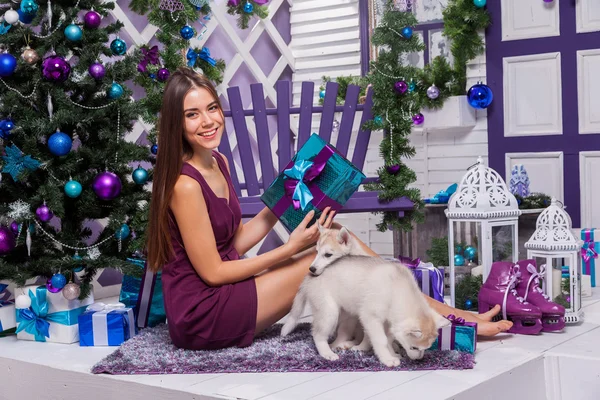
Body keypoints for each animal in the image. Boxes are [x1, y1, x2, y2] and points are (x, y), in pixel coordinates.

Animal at [282, 225, 450, 366]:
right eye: (414, 347)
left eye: (426, 348)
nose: (419, 360)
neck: (396, 289)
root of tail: (309, 277)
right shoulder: (370, 317)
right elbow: (381, 339)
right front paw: (388, 359)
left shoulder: (388, 322)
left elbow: (388, 338)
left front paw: (392, 353)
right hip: (329, 312)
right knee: (318, 335)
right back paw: (327, 353)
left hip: (347, 315)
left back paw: (343, 345)